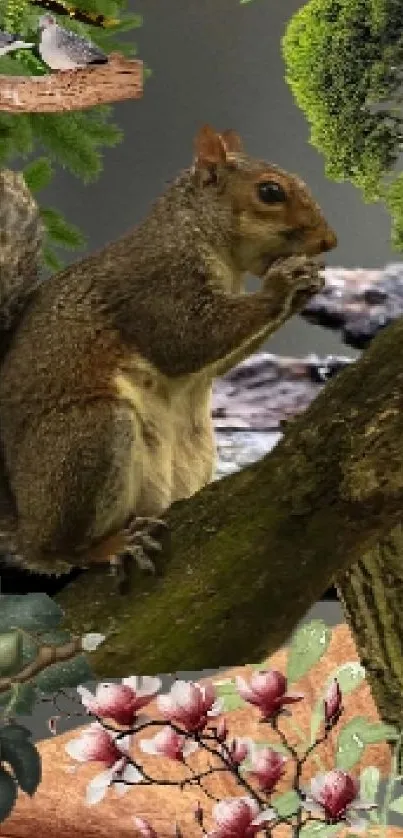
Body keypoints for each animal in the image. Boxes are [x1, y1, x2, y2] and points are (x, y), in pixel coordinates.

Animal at [0, 124, 338, 588]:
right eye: (270, 192)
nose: (329, 241)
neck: (193, 230)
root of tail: (25, 524)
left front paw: (308, 284)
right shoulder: (157, 285)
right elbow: (187, 341)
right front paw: (281, 284)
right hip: (91, 438)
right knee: (59, 552)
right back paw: (109, 546)